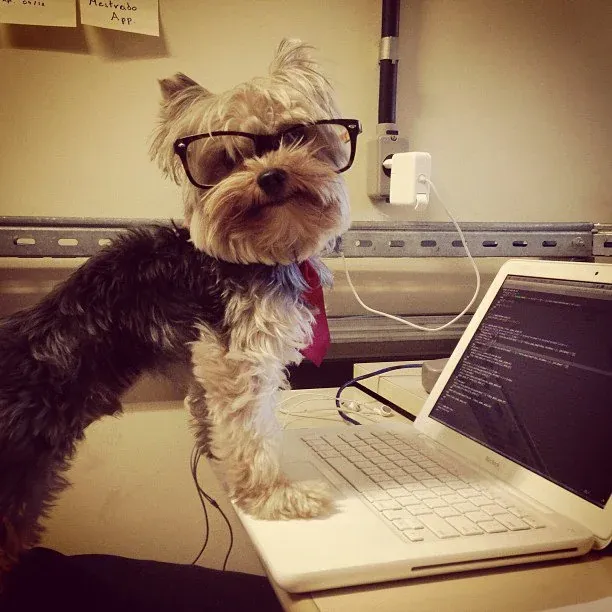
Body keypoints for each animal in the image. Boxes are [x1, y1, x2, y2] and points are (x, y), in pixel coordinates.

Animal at [0, 38, 360, 572]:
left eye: (296, 134)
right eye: (227, 158)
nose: (271, 175)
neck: (259, 253)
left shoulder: (208, 359)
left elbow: (209, 410)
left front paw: (214, 452)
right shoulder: (238, 356)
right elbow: (252, 431)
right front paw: (275, 496)